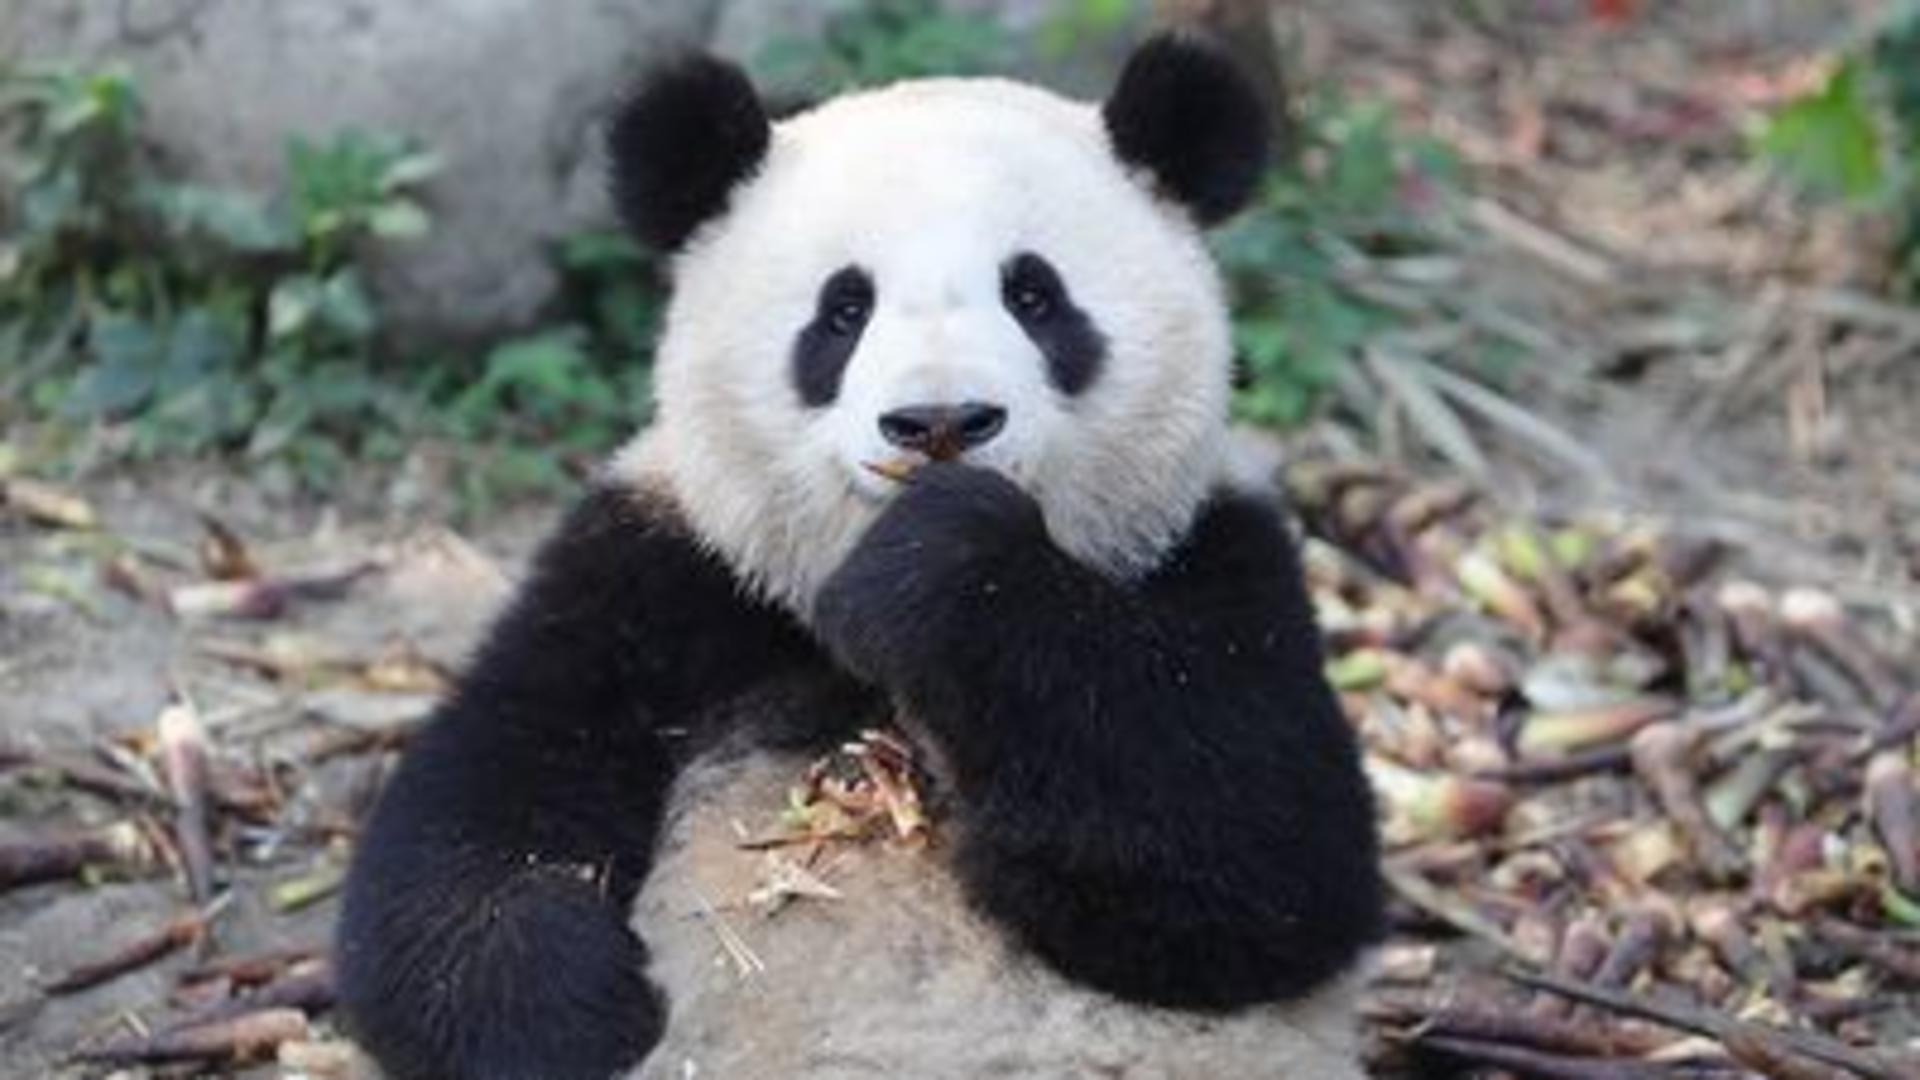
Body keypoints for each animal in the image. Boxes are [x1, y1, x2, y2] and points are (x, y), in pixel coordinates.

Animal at [336, 32, 1383, 1080]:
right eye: (842, 311)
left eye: (1035, 296)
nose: (940, 422)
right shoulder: (661, 577)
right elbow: (477, 813)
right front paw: (572, 1010)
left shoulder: (1209, 555)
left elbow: (1260, 851)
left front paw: (939, 568)